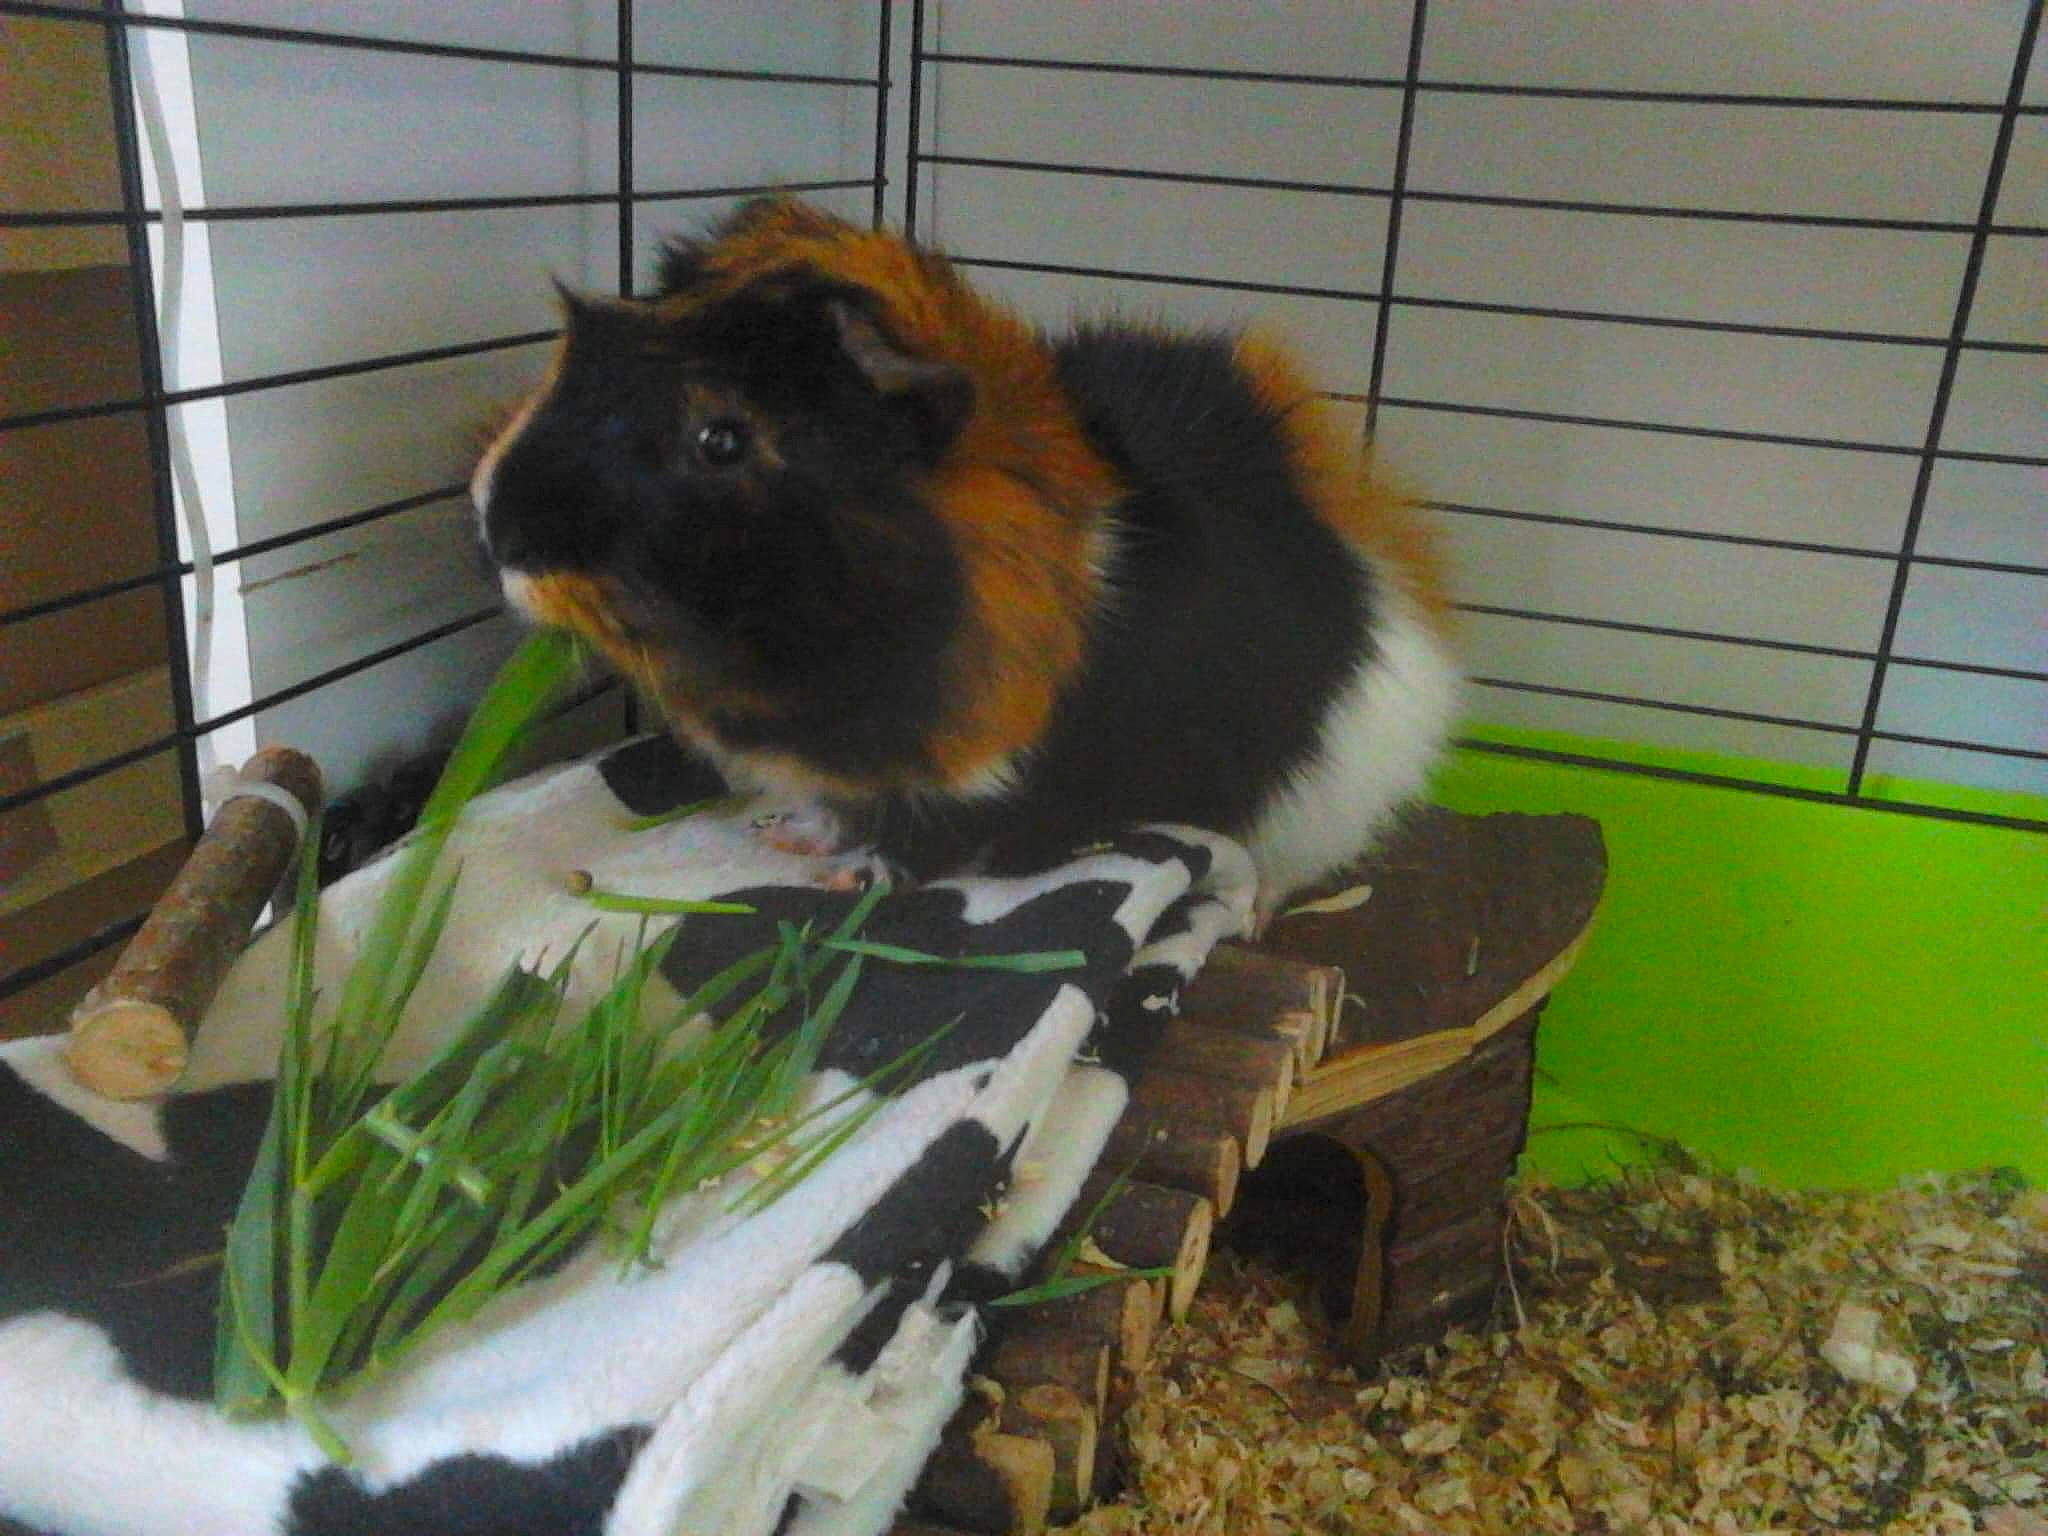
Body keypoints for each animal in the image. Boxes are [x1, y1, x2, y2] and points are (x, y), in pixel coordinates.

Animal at [470, 197, 1461, 925]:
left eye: (722, 438)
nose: (494, 523)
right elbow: (834, 810)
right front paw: (788, 834)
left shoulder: (985, 776)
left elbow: (924, 844)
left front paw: (844, 882)